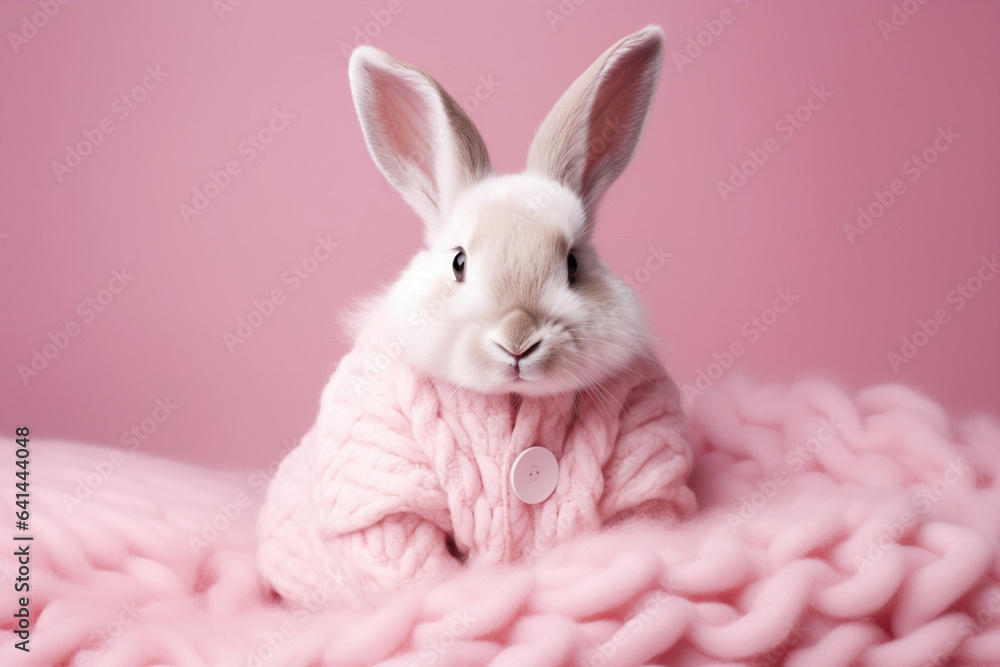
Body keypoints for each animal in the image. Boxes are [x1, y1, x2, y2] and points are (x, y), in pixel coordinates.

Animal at [257, 24, 695, 608]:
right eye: (459, 262)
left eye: (573, 264)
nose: (518, 338)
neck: (509, 400)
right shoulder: (382, 494)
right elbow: (416, 567)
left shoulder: (645, 450)